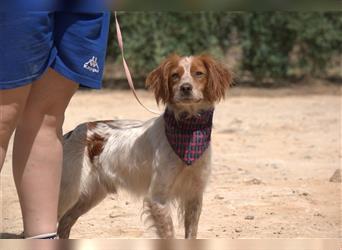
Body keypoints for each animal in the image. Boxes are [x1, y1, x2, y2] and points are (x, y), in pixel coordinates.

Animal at [57, 53, 231, 238]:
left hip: (90, 194)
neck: (189, 131)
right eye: (175, 75)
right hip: (68, 191)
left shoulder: (194, 195)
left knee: (65, 222)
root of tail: (70, 134)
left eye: (198, 73)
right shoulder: (158, 198)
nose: (185, 88)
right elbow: (169, 234)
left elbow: (191, 234)